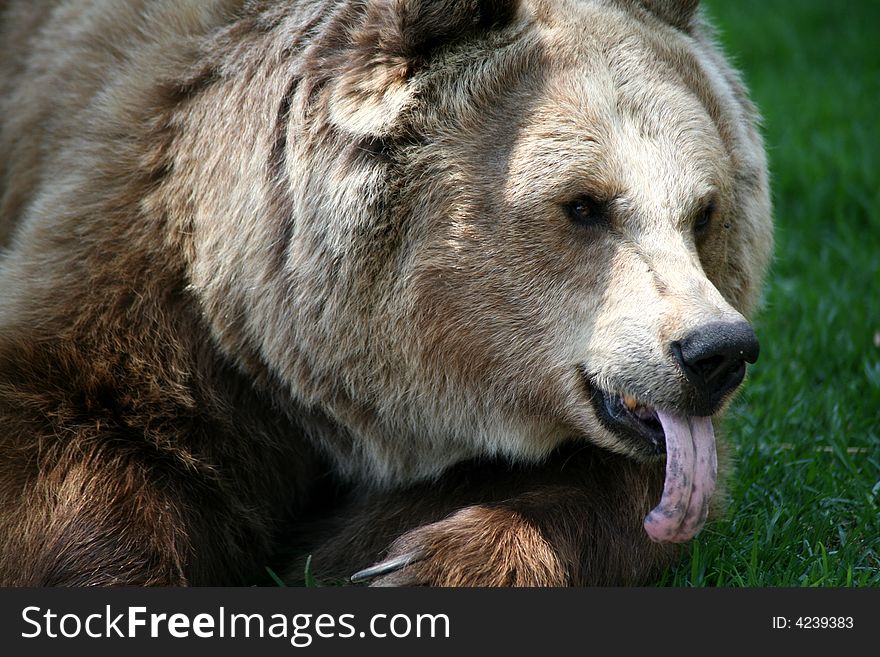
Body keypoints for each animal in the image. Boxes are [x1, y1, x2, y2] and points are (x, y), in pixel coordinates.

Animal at [0, 0, 768, 584]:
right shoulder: (140, 270)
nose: (716, 350)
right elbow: (71, 438)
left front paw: (415, 563)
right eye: (583, 204)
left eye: (703, 210)